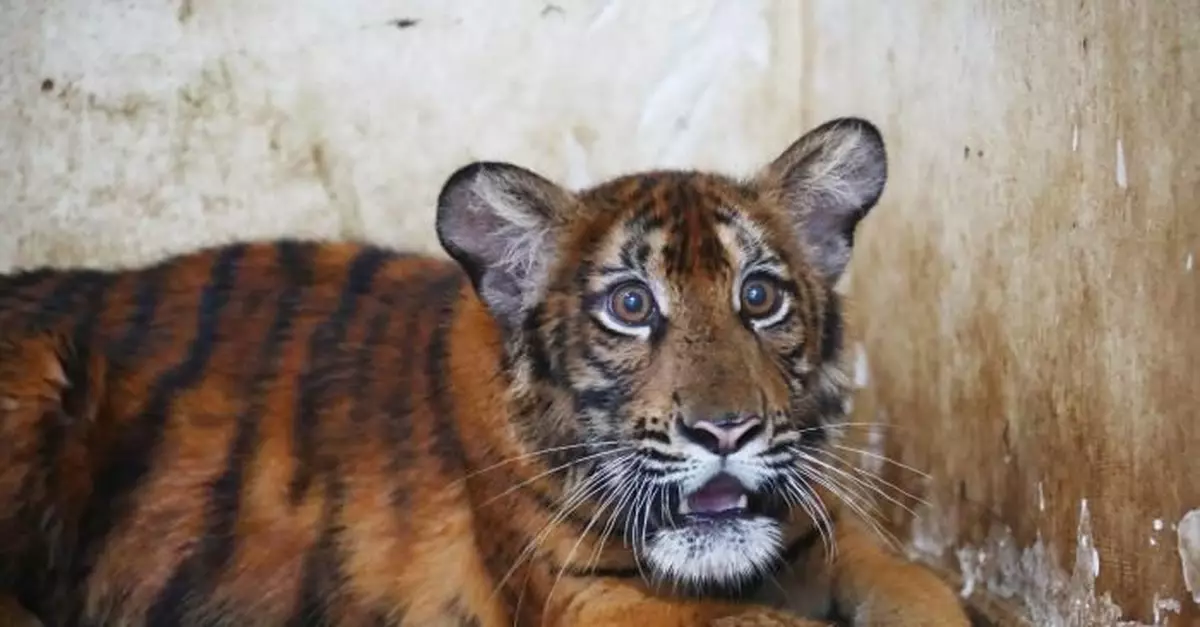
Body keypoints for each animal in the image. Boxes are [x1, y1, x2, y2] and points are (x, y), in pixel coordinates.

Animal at [0, 117, 971, 626]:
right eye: (631, 304)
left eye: (760, 295)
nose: (725, 431)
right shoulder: (595, 601)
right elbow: (758, 620)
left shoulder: (826, 536)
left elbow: (924, 591)